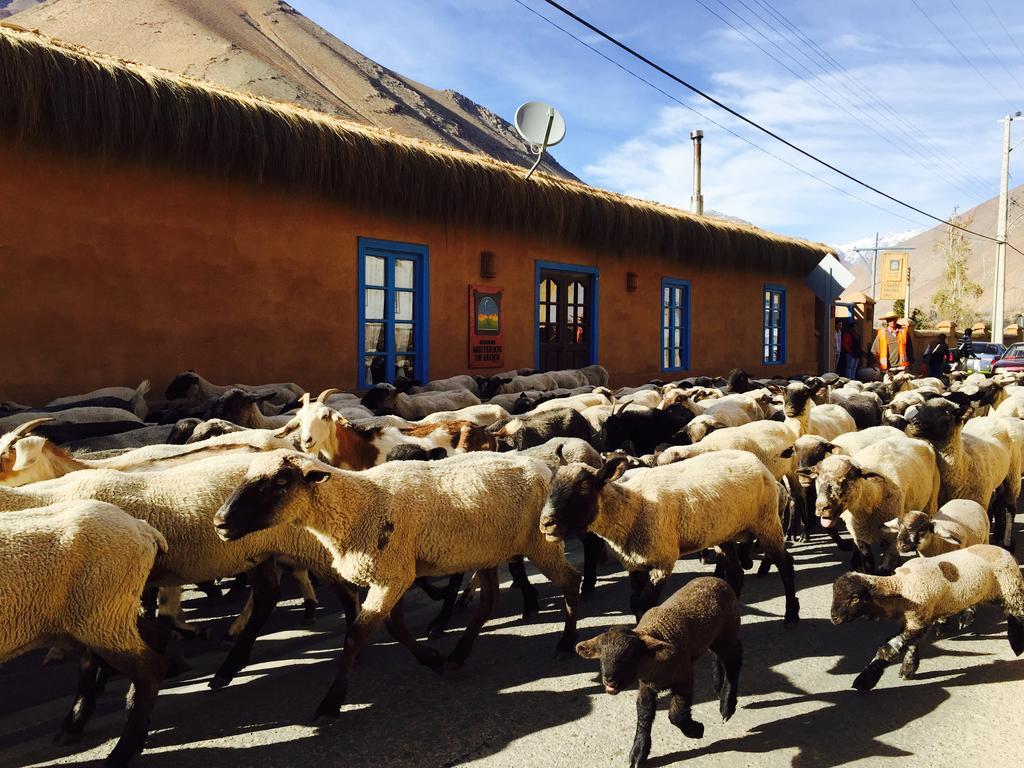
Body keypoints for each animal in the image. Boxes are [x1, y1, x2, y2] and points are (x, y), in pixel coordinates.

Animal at [1, 501, 167, 765]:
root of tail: (142, 528)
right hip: (96, 616)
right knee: (154, 638)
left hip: (103, 613)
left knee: (149, 669)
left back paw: (121, 752)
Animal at [211, 450, 581, 720]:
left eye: (281, 480)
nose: (220, 522)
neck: (360, 505)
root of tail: (539, 465)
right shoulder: (396, 573)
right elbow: (396, 628)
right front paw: (432, 658)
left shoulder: (392, 575)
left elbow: (355, 636)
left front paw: (331, 702)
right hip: (487, 549)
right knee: (489, 600)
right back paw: (458, 655)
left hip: (541, 540)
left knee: (571, 580)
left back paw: (565, 644)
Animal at [581, 581, 741, 765]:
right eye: (601, 655)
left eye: (630, 655)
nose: (609, 679)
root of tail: (718, 580)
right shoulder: (646, 685)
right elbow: (644, 714)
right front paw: (638, 753)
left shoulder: (684, 676)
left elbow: (676, 715)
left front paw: (696, 730)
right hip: (714, 637)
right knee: (718, 656)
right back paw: (718, 686)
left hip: (728, 630)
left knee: (734, 660)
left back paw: (727, 705)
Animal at [831, 544, 1024, 696]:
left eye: (855, 598)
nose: (833, 617)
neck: (902, 586)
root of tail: (1003, 550)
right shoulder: (914, 620)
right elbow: (911, 646)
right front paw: (908, 670)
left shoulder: (919, 620)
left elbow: (888, 648)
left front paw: (864, 681)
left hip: (1011, 588)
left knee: (1018, 613)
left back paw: (1017, 644)